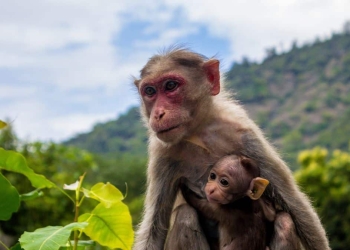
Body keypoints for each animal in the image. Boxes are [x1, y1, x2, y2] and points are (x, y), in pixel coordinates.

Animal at [133, 47, 330, 249]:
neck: (198, 132)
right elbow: (154, 230)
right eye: (150, 91)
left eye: (171, 86)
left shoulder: (245, 134)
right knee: (185, 215)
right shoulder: (161, 153)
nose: (158, 114)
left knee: (285, 220)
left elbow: (294, 205)